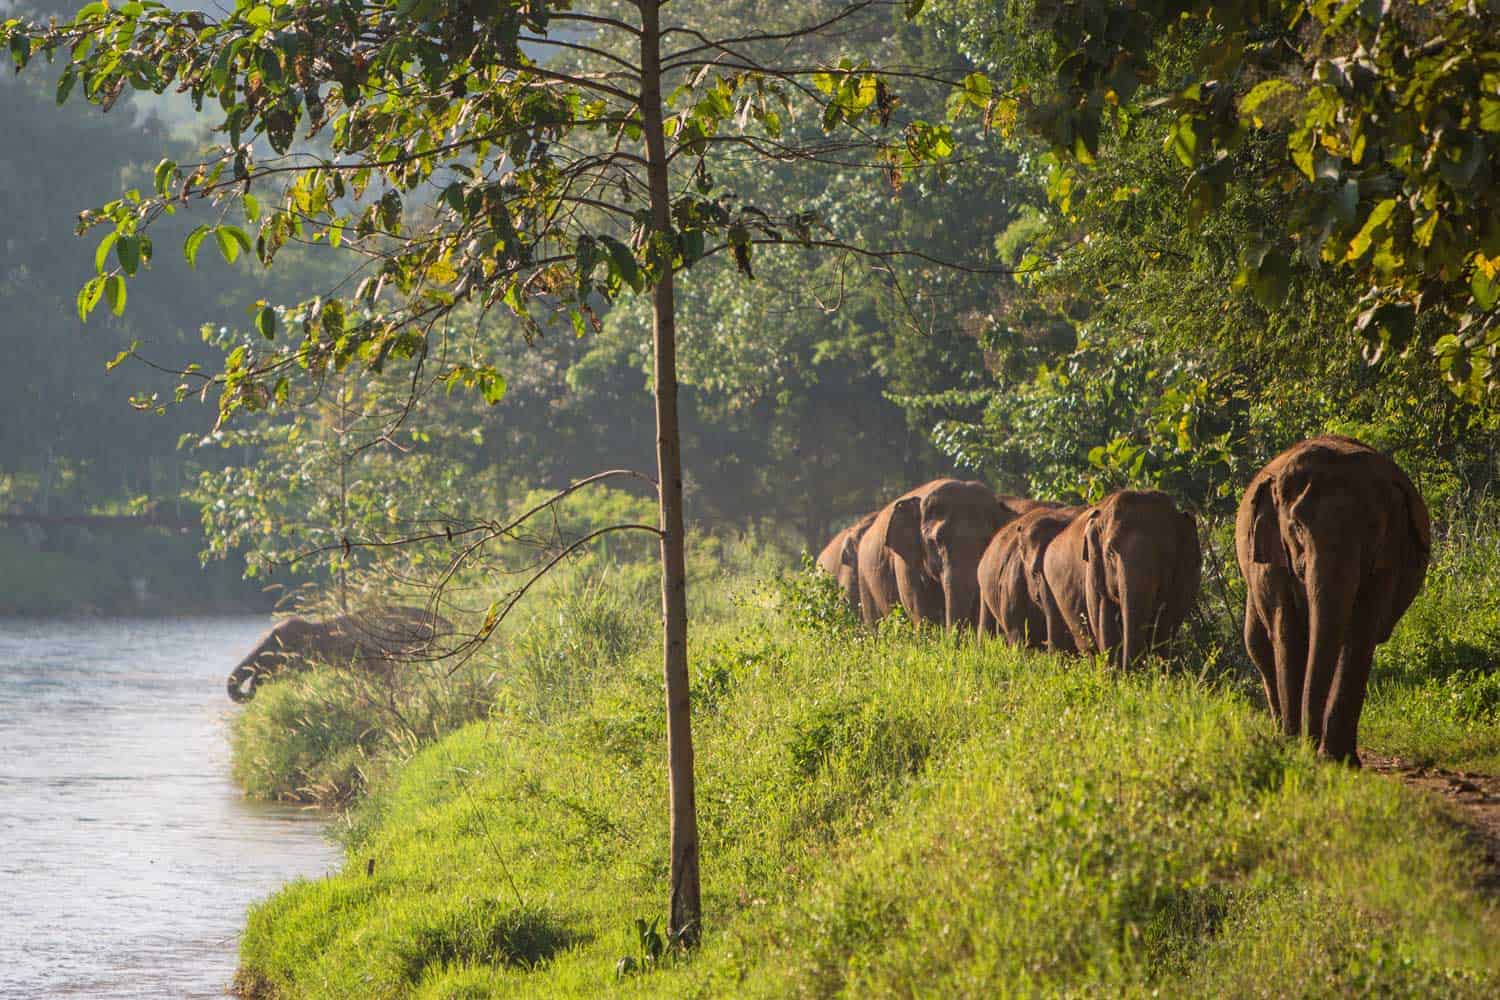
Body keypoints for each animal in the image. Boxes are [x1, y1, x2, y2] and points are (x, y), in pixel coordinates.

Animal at [1044, 490, 1200, 669]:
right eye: (1110, 553)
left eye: (1165, 554)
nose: (1131, 669)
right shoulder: (1094, 573)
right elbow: (1106, 622)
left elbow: (1165, 622)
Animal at [1235, 435, 1430, 764]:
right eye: (1296, 528)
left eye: (1371, 529)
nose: (1309, 745)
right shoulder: (1273, 556)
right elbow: (1287, 631)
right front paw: (1295, 748)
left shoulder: (1389, 555)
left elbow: (1361, 632)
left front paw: (1338, 760)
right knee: (1259, 644)